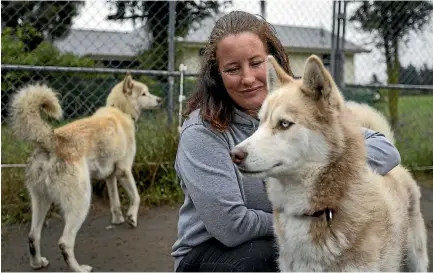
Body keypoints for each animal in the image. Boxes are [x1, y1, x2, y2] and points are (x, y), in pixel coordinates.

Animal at [9, 73, 161, 270]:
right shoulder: (124, 171)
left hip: (41, 200)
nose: (160, 100)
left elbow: (115, 202)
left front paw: (118, 219)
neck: (120, 110)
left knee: (33, 235)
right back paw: (79, 269)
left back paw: (37, 263)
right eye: (144, 93)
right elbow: (136, 197)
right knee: (64, 242)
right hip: (80, 203)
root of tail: (52, 139)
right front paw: (131, 219)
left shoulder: (110, 176)